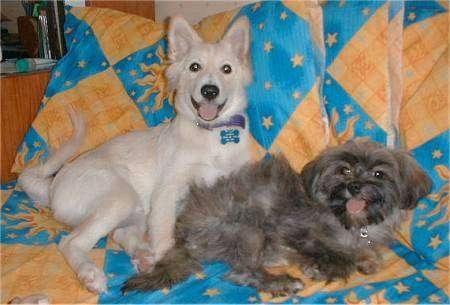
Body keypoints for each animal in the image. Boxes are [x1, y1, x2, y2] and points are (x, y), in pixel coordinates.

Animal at [19, 16, 251, 292]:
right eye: (195, 67)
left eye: (227, 69)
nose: (209, 91)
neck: (212, 135)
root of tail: (53, 185)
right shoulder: (166, 191)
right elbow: (164, 234)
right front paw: (168, 265)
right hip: (120, 196)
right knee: (71, 242)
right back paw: (91, 274)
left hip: (136, 208)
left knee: (120, 233)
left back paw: (143, 255)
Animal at [123, 138, 432, 294]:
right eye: (344, 170)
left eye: (379, 174)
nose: (355, 186)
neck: (348, 221)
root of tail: (183, 235)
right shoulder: (293, 228)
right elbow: (334, 254)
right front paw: (322, 267)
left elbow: (365, 252)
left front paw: (367, 259)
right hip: (248, 230)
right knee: (242, 272)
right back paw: (281, 282)